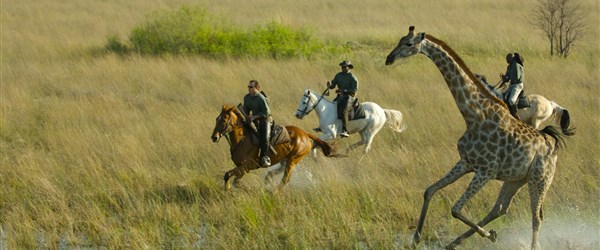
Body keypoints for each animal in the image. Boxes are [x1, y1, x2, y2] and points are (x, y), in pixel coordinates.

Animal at [384, 26, 572, 249]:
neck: (474, 116)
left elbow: (455, 209)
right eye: (400, 40)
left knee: (536, 217)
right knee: (500, 208)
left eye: (409, 43)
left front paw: (489, 235)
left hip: (540, 179)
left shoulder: (486, 171)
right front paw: (415, 238)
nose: (389, 58)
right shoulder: (466, 163)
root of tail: (552, 145)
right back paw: (455, 242)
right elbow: (430, 190)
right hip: (516, 179)